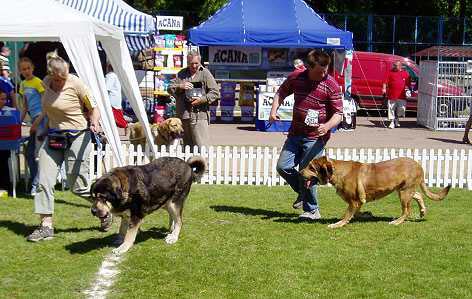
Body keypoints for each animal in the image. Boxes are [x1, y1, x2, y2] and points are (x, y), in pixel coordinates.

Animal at [298, 156, 450, 229]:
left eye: (311, 167)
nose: (299, 173)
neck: (337, 171)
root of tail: (419, 165)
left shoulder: (354, 201)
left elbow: (346, 215)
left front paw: (338, 224)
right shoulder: (358, 202)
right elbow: (356, 212)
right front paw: (365, 214)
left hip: (404, 193)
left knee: (407, 211)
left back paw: (397, 222)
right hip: (404, 189)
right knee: (418, 195)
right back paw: (422, 211)